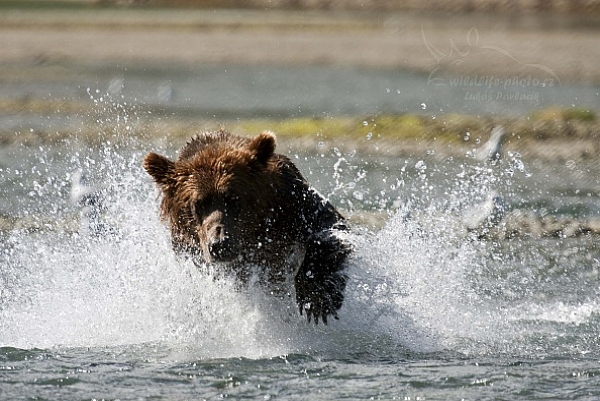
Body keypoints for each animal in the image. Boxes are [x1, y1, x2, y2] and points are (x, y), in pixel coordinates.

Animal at [144, 130, 352, 324]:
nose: (220, 244)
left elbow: (329, 226)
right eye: (198, 203)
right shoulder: (190, 250)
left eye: (233, 198)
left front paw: (317, 297)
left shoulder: (291, 201)